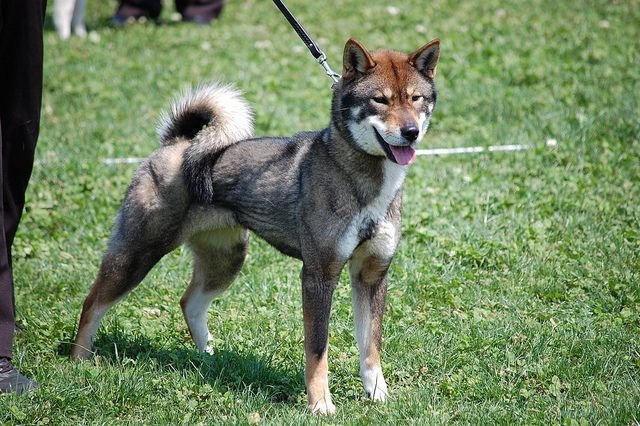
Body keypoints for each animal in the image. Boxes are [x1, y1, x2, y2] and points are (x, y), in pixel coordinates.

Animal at [70, 38, 440, 414]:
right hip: (137, 255)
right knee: (92, 303)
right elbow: (317, 349)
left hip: (226, 261)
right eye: (380, 100)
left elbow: (371, 346)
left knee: (189, 302)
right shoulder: (318, 275)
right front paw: (320, 404)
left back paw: (208, 358)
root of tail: (177, 144)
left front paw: (378, 394)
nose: (410, 132)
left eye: (415, 98)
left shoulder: (372, 274)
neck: (361, 179)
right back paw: (79, 364)